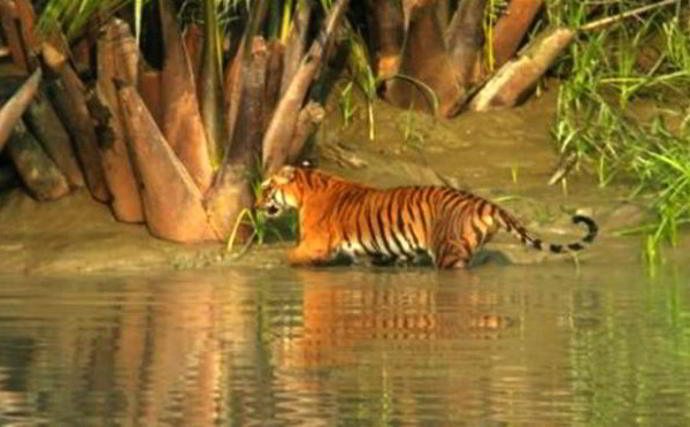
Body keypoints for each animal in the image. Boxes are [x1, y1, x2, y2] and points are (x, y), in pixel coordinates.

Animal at [255, 165, 598, 269]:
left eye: (266, 188)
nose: (256, 205)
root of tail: (483, 202)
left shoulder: (313, 244)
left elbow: (288, 258)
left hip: (449, 253)